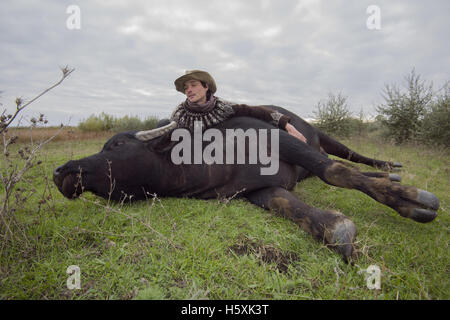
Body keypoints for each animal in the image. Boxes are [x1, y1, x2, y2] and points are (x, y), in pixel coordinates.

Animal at [52, 106, 440, 262]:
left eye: (116, 144)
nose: (61, 172)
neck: (209, 158)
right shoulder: (259, 191)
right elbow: (292, 208)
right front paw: (335, 228)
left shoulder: (285, 141)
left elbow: (335, 173)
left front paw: (411, 201)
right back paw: (385, 176)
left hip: (326, 138)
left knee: (349, 158)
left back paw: (389, 169)